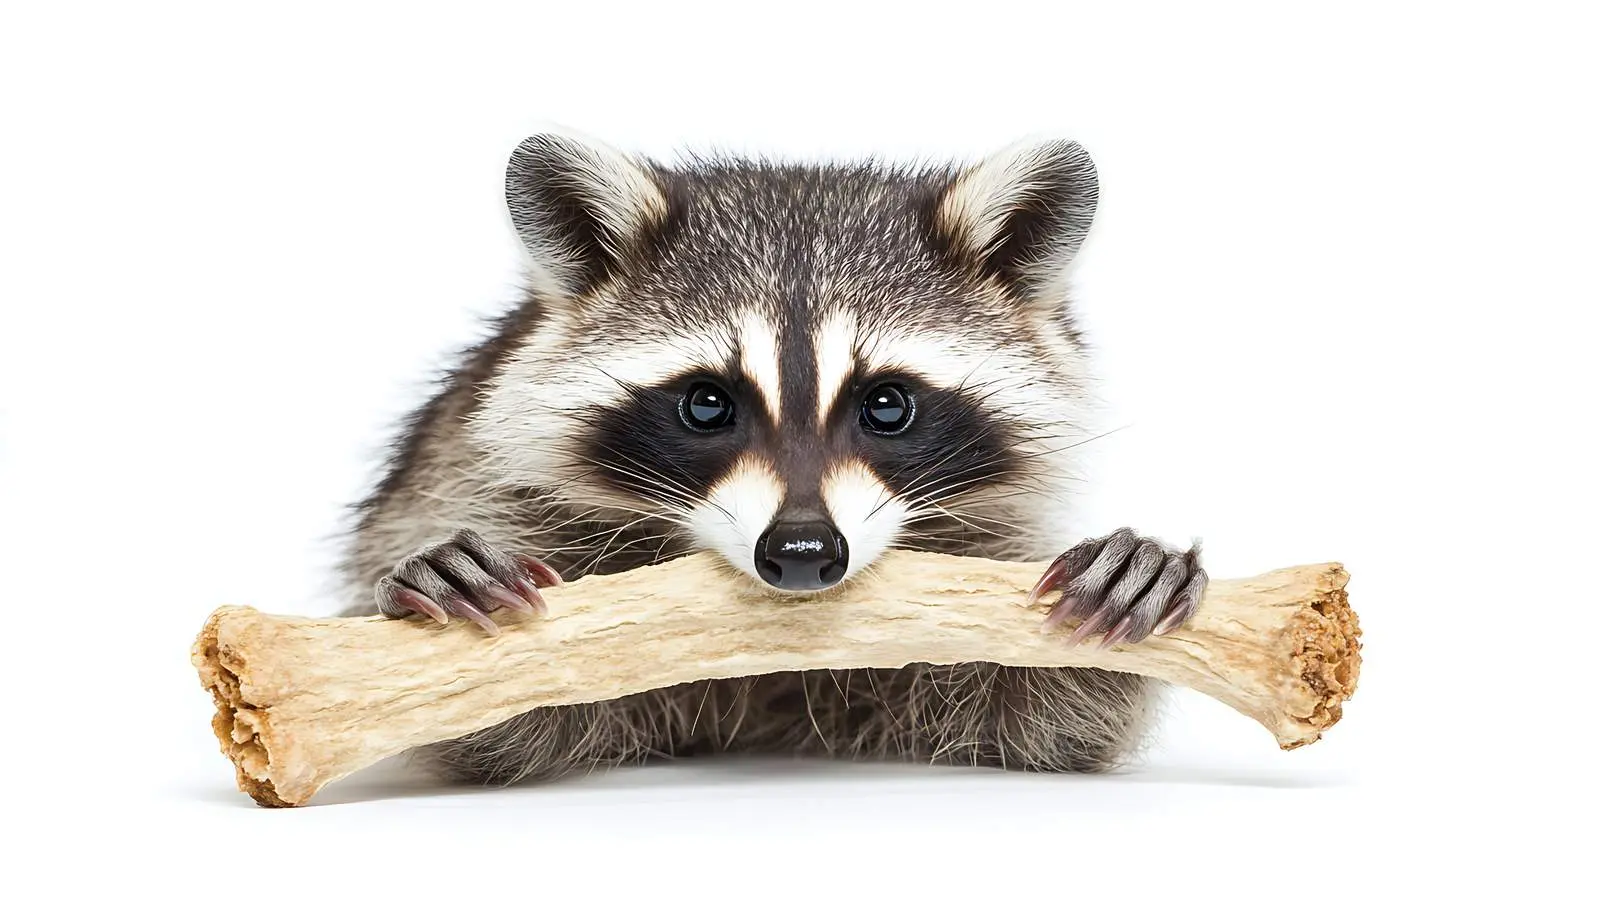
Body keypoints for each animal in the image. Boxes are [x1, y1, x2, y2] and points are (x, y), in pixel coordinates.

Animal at [339, 129, 1207, 786]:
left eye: (887, 405)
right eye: (706, 404)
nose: (801, 549)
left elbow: (1052, 718)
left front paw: (1135, 569)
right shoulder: (484, 490)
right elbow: (499, 727)